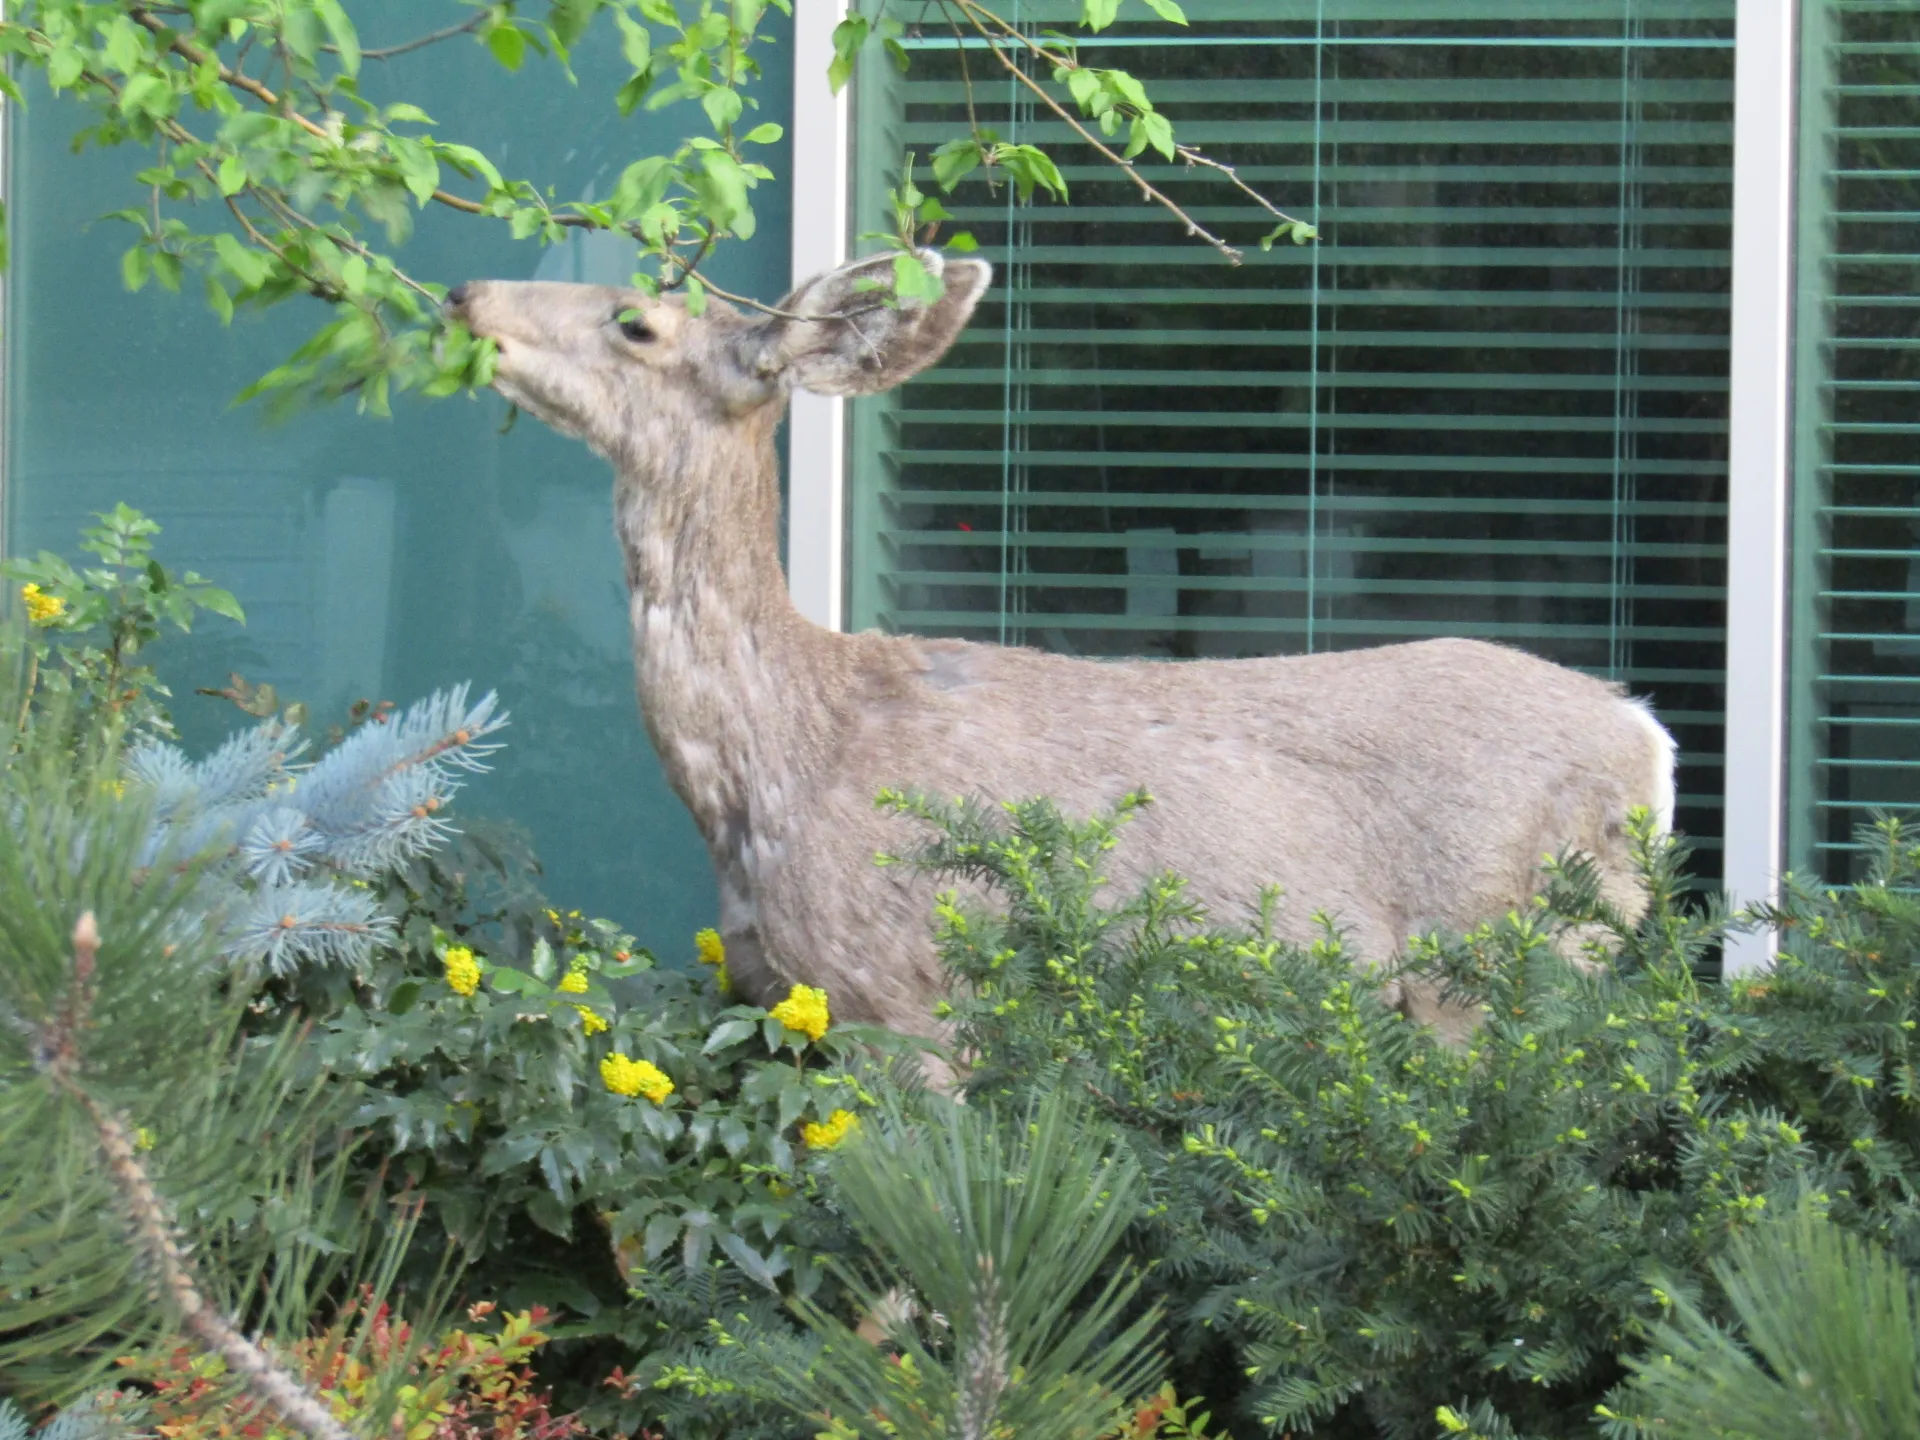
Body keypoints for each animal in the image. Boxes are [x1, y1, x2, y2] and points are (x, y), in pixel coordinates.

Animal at [445, 249, 1677, 1052]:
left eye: (634, 323)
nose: (465, 292)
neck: (774, 757)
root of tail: (1647, 738)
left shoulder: (905, 992)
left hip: (1503, 966)